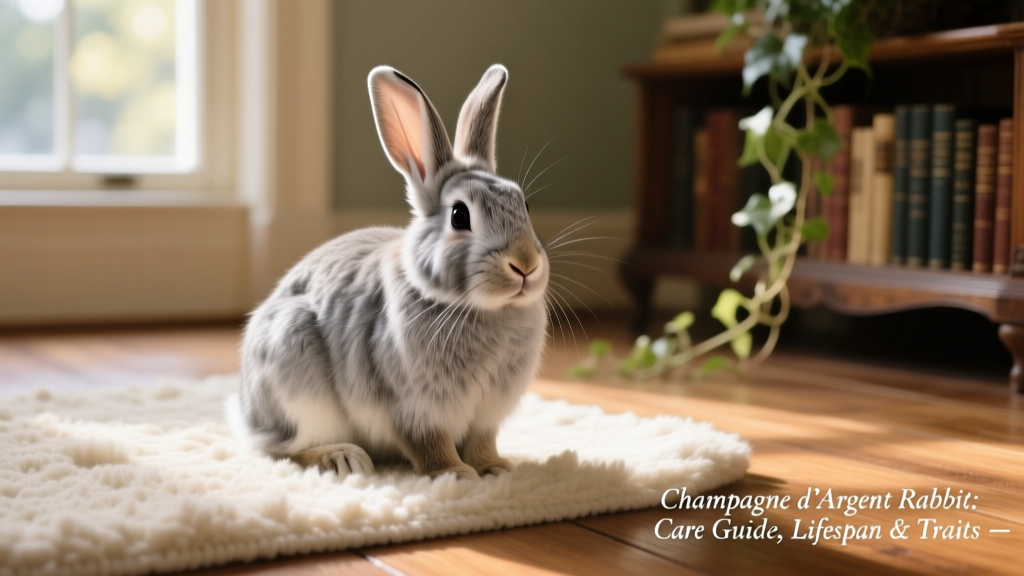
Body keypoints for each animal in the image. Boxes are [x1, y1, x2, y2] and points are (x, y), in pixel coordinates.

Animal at [227, 64, 548, 480]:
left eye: (523, 204)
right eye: (459, 215)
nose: (525, 265)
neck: (478, 308)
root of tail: (246, 412)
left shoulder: (486, 414)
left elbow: (482, 442)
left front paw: (496, 469)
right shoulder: (415, 408)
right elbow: (429, 444)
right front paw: (456, 474)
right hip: (294, 374)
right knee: (282, 450)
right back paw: (343, 459)